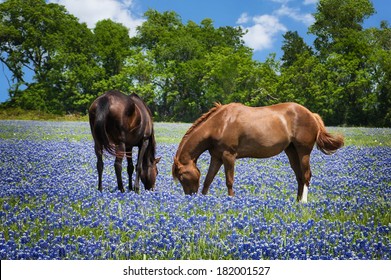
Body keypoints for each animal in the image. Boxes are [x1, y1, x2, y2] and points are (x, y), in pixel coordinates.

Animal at [173, 101, 344, 202]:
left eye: (181, 176)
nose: (190, 197)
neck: (220, 124)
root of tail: (311, 114)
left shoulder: (229, 156)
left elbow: (229, 181)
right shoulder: (216, 157)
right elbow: (208, 180)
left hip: (304, 152)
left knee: (307, 175)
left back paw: (303, 202)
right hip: (291, 151)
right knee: (300, 177)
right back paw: (296, 201)